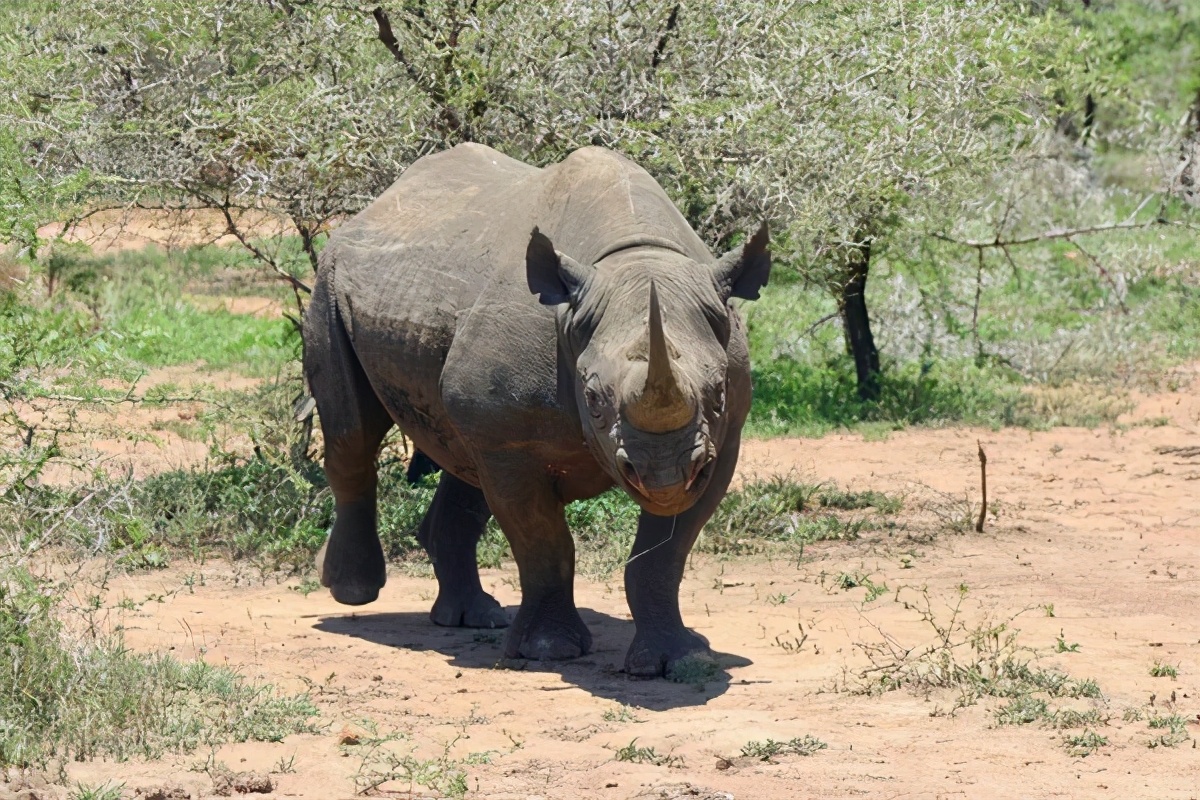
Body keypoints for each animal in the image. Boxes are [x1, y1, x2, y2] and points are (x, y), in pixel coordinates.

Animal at [300, 143, 768, 676]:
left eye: (718, 393)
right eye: (593, 399)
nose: (663, 475)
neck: (635, 258)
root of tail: (374, 207)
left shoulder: (720, 443)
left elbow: (662, 557)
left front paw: (680, 659)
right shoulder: (510, 440)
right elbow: (543, 542)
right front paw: (549, 651)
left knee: (462, 460)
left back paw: (473, 618)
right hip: (330, 282)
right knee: (353, 435)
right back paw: (352, 591)